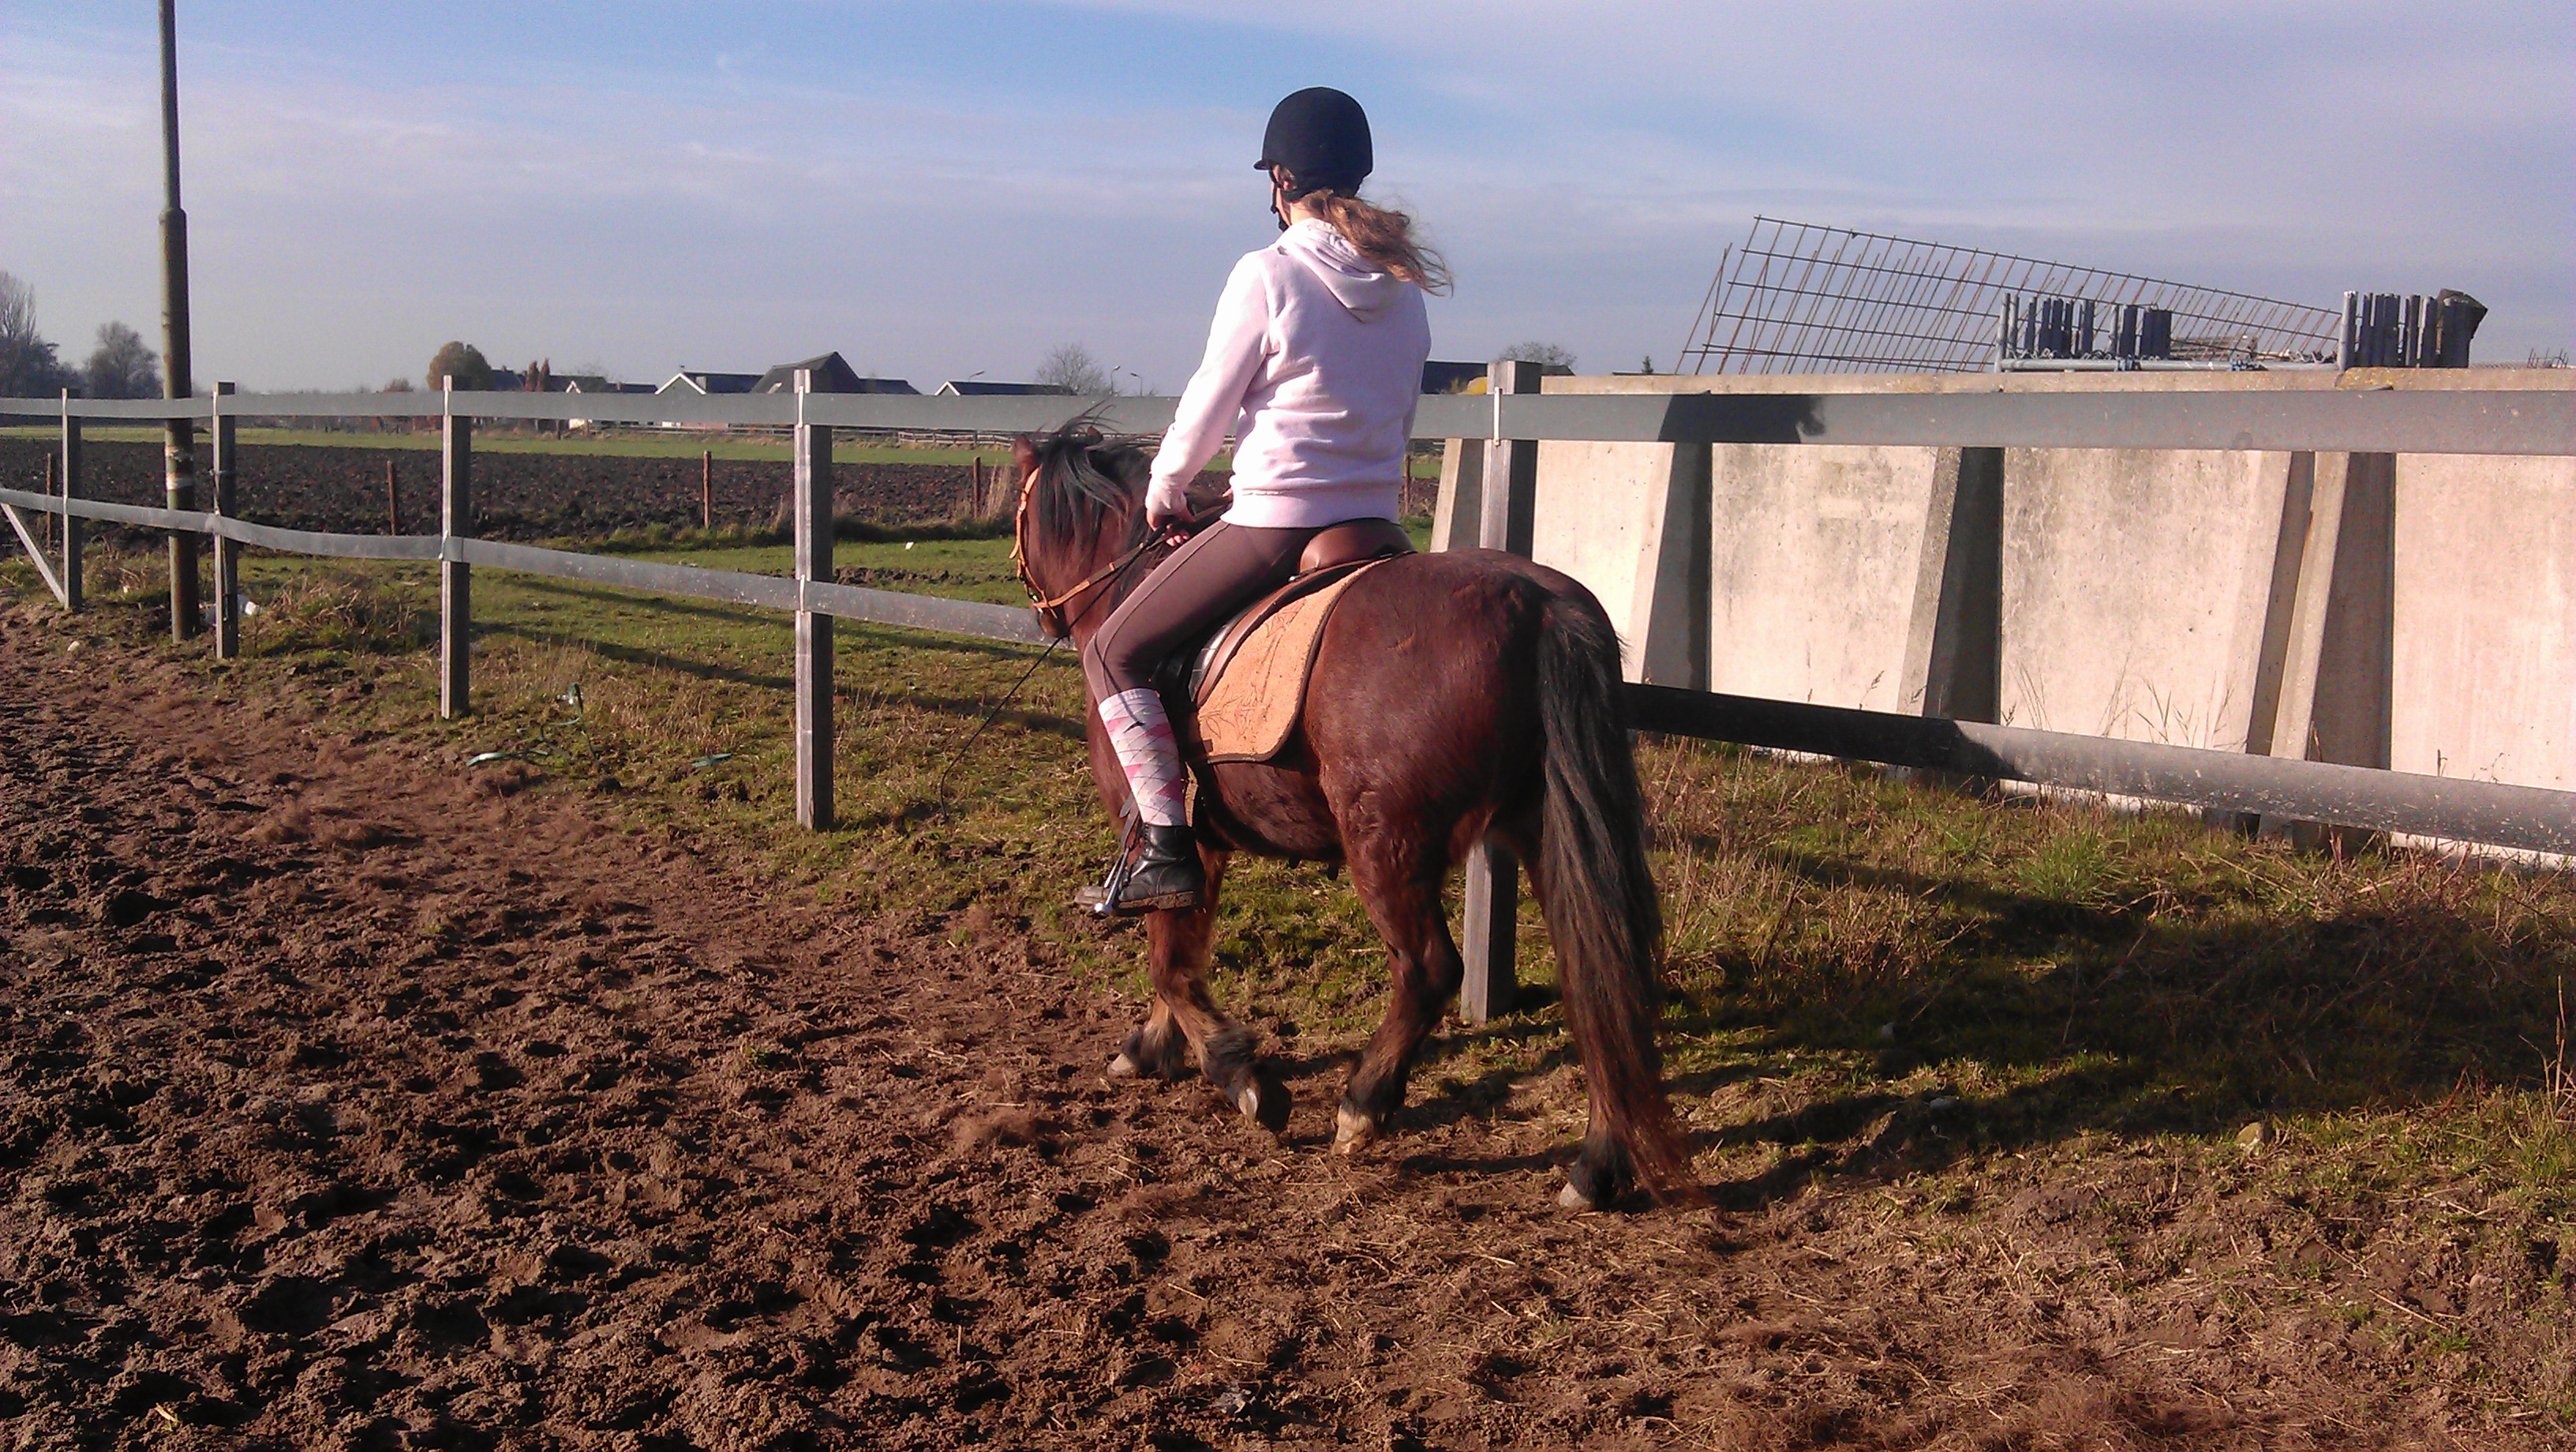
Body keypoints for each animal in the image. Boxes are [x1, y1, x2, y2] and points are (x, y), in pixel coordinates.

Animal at [1008, 420, 1695, 1208]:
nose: (1040, 613)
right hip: (1547, 830)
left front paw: (1240, 1075)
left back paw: (1363, 1105)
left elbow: (1170, 960)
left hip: (1386, 842)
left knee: (1430, 969)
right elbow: (1179, 951)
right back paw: (1598, 1162)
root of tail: (1541, 605)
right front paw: (1154, 1048)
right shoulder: (1202, 843)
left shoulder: (1170, 835)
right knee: (1598, 976)